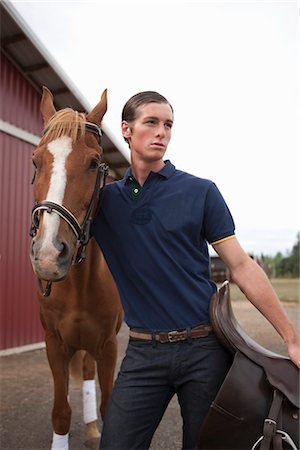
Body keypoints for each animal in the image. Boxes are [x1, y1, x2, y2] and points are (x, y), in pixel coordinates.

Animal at [29, 88, 123, 450]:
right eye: (36, 160)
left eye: (94, 163)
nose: (48, 255)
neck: (79, 283)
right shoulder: (55, 344)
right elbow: (60, 413)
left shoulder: (107, 345)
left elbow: (110, 405)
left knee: (86, 372)